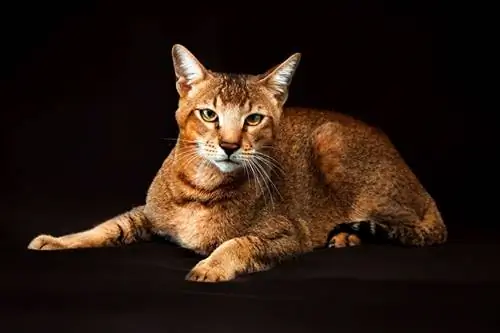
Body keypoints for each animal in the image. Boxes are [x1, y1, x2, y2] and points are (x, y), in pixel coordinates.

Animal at [27, 44, 448, 282]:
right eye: (209, 114)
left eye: (254, 119)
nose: (229, 146)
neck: (201, 188)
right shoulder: (148, 213)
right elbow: (105, 227)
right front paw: (59, 241)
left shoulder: (288, 235)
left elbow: (239, 242)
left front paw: (211, 266)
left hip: (334, 145)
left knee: (406, 224)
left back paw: (348, 234)